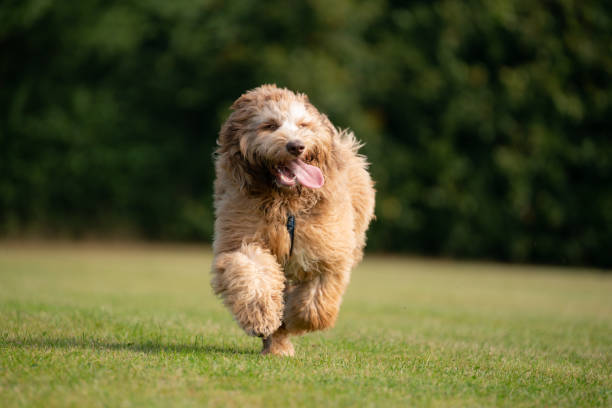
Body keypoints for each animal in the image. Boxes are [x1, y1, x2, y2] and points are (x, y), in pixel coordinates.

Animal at [210, 84, 376, 356]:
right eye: (269, 125)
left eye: (303, 125)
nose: (296, 146)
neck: (285, 202)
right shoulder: (241, 237)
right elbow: (250, 271)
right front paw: (262, 316)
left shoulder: (328, 251)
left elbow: (316, 304)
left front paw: (292, 319)